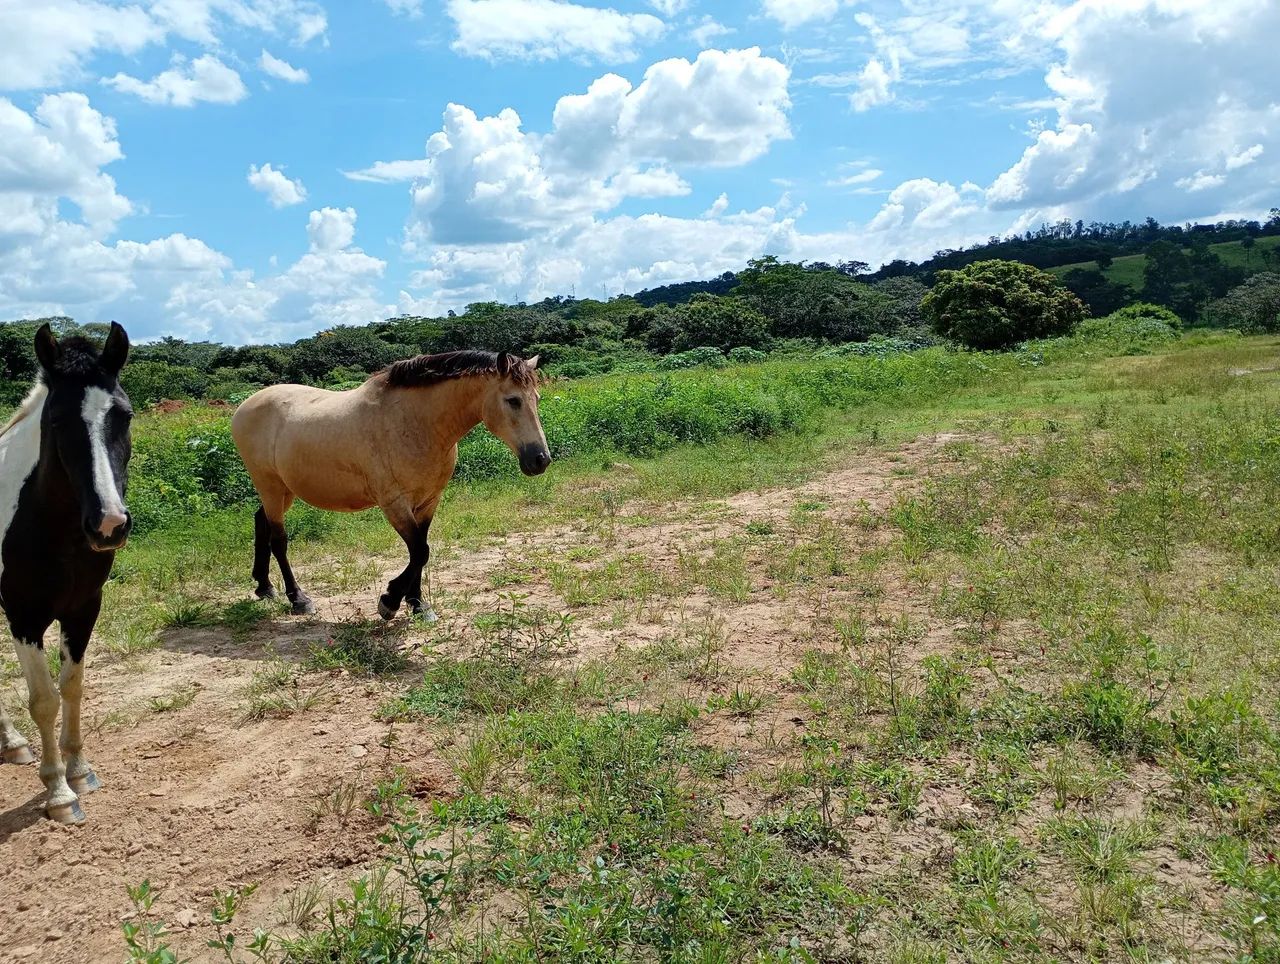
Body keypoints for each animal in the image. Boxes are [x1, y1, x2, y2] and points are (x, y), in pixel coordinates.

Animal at [0, 323, 132, 825]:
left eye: (125, 416)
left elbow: (72, 686)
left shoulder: (83, 608)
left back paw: (12, 743)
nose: (109, 524)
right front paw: (58, 792)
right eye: (56, 422)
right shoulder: (24, 617)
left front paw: (79, 770)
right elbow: (44, 700)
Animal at [231, 350, 550, 618]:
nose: (541, 459)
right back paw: (298, 599)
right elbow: (420, 551)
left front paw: (418, 604)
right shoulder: (394, 504)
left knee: (261, 521)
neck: (415, 423)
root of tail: (244, 407)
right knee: (278, 540)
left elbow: (420, 550)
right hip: (271, 486)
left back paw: (264, 587)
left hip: (283, 490)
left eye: (536, 398)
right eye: (513, 400)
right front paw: (390, 600)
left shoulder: (428, 501)